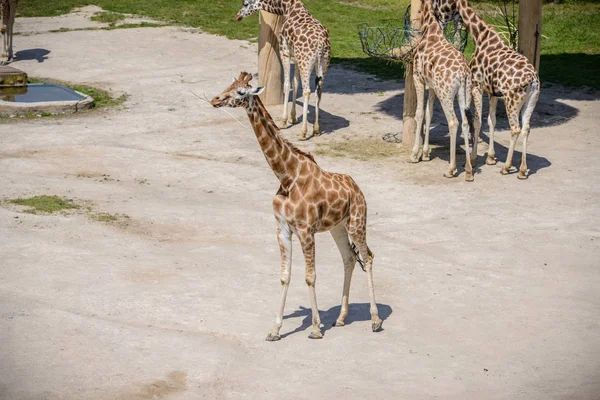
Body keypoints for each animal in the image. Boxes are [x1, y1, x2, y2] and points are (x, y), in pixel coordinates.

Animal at [209, 72, 382, 340]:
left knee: (368, 256)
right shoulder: (282, 230)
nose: (215, 100)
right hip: (337, 227)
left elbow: (310, 276)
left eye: (240, 92)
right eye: (229, 85)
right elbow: (285, 276)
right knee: (349, 259)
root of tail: (357, 188)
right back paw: (341, 318)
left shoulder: (305, 230)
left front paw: (315, 328)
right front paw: (275, 329)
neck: (287, 176)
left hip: (357, 222)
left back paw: (375, 319)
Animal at [234, 0, 330, 141]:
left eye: (245, 3)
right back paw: (316, 129)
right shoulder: (295, 57)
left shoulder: (284, 52)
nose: (237, 17)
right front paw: (293, 118)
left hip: (306, 62)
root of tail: (320, 43)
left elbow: (286, 84)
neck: (287, 7)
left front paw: (284, 121)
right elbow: (295, 84)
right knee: (319, 90)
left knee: (307, 91)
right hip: (322, 63)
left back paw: (303, 133)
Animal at [410, 0, 476, 180]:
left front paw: (414, 154)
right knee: (466, 122)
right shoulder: (432, 86)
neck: (430, 29)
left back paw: (451, 169)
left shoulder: (418, 78)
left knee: (453, 122)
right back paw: (468, 170)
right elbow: (429, 113)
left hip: (446, 94)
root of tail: (463, 72)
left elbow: (419, 114)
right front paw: (425, 154)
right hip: (463, 93)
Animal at [458, 0, 540, 179]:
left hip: (512, 101)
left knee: (515, 129)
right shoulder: (493, 93)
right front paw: (490, 158)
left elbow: (478, 121)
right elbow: (492, 120)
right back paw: (522, 170)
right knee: (526, 128)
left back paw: (507, 167)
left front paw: (473, 159)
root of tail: (532, 80)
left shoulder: (477, 86)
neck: (480, 36)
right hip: (531, 101)